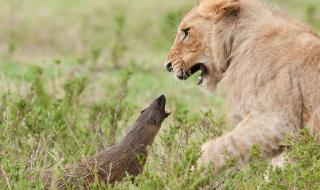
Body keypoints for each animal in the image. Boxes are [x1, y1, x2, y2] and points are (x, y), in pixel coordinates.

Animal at [165, 0, 320, 168]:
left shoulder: (280, 121)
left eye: (186, 32)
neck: (237, 43)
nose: (167, 66)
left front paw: (190, 171)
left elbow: (216, 148)